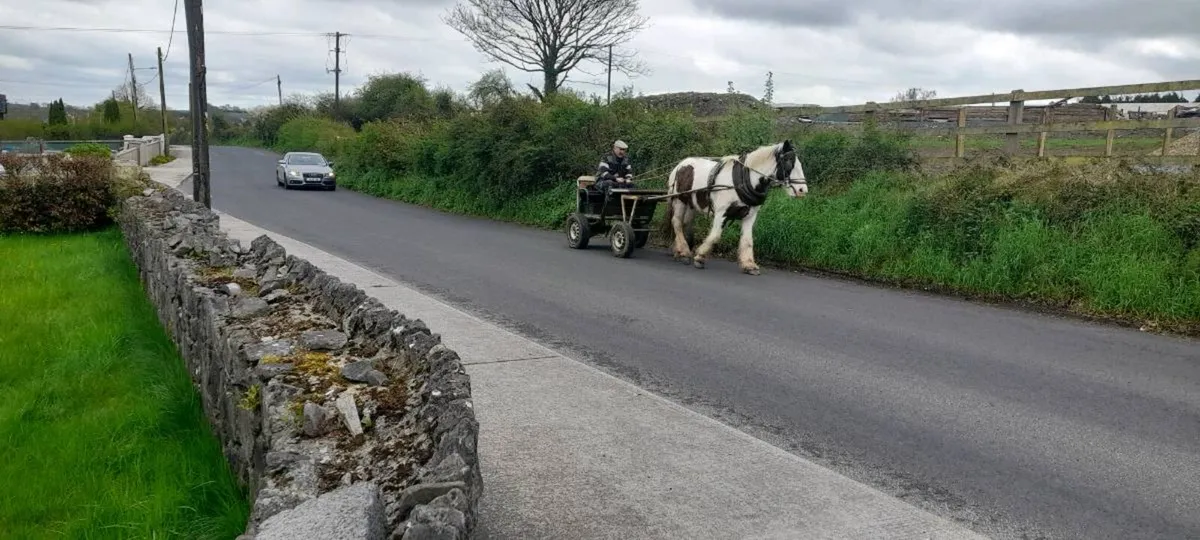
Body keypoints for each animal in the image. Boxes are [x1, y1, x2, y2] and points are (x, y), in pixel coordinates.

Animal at [659, 139, 808, 275]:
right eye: (788, 161)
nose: (803, 190)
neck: (744, 180)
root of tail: (680, 164)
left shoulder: (750, 215)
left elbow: (748, 240)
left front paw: (749, 265)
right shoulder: (721, 213)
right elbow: (715, 236)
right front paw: (700, 257)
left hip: (691, 204)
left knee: (685, 223)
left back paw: (679, 251)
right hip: (679, 200)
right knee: (676, 222)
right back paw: (684, 252)